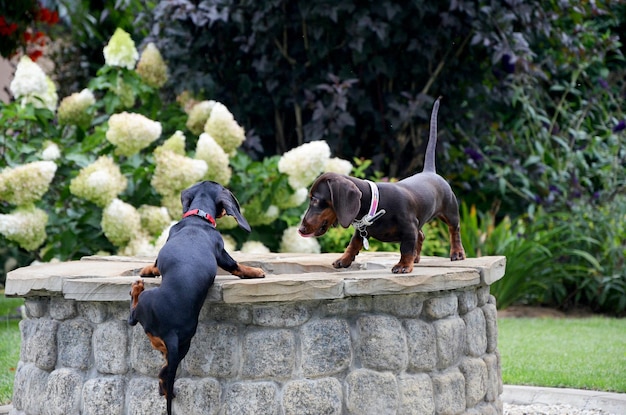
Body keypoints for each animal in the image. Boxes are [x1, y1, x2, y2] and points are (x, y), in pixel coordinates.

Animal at [127, 182, 264, 415]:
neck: (198, 218)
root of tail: (171, 333)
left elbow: (236, 266)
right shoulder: (221, 253)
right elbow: (237, 266)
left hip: (147, 304)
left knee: (132, 317)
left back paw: (137, 286)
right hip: (184, 345)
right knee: (164, 373)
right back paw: (167, 390)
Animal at [298, 97, 464, 272]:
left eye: (315, 200)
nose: (300, 230)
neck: (374, 204)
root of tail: (429, 171)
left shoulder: (409, 227)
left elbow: (406, 248)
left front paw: (403, 265)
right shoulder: (361, 231)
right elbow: (353, 244)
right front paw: (344, 259)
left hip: (450, 212)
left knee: (454, 230)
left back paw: (457, 253)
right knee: (421, 235)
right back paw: (416, 257)